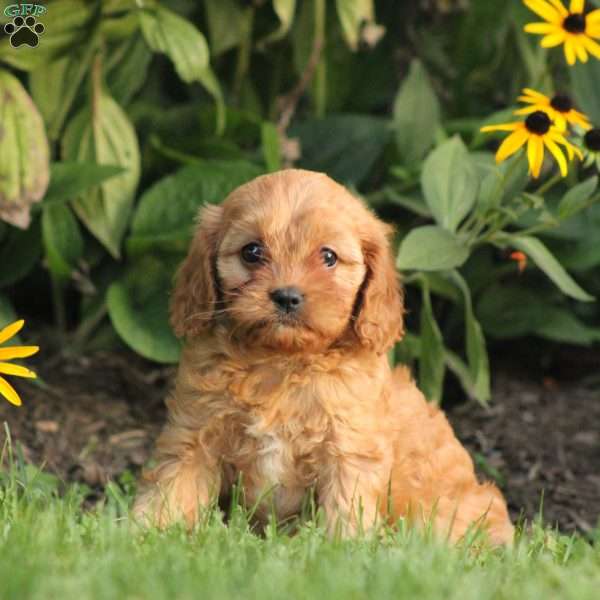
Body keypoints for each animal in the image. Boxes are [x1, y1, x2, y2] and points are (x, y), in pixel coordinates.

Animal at [134, 168, 512, 544]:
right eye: (251, 252)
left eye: (328, 257)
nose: (287, 296)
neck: (281, 361)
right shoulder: (195, 432)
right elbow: (175, 484)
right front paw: (147, 533)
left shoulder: (349, 448)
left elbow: (346, 506)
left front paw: (342, 547)